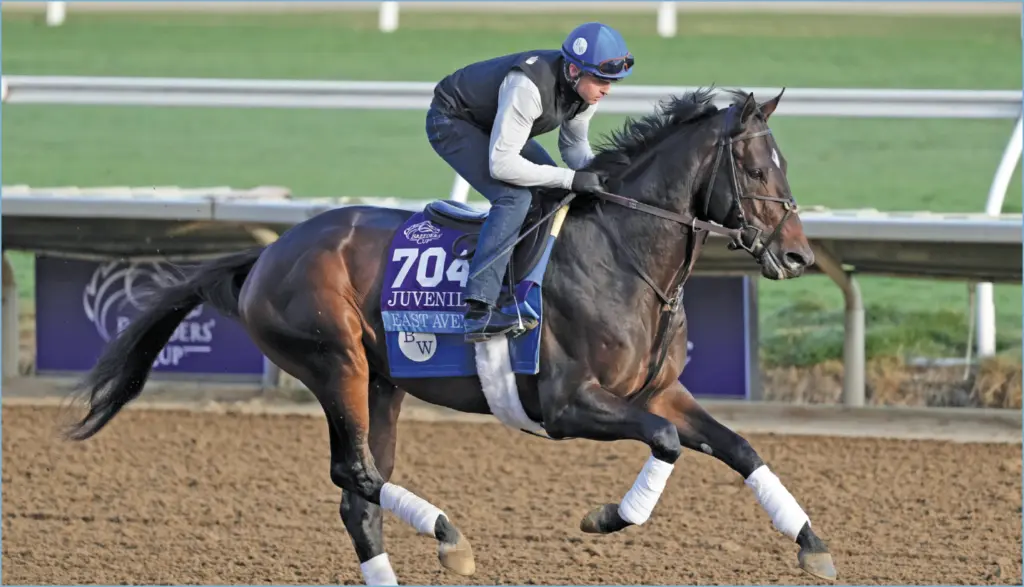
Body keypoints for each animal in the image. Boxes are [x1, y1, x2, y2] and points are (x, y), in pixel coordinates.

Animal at [63, 87, 837, 584]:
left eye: (785, 165)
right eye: (758, 167)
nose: (798, 255)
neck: (623, 254)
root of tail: (267, 255)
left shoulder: (659, 390)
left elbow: (738, 447)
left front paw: (813, 542)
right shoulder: (567, 405)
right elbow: (670, 443)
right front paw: (606, 517)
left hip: (383, 383)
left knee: (359, 492)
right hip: (335, 363)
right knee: (355, 473)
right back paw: (448, 535)